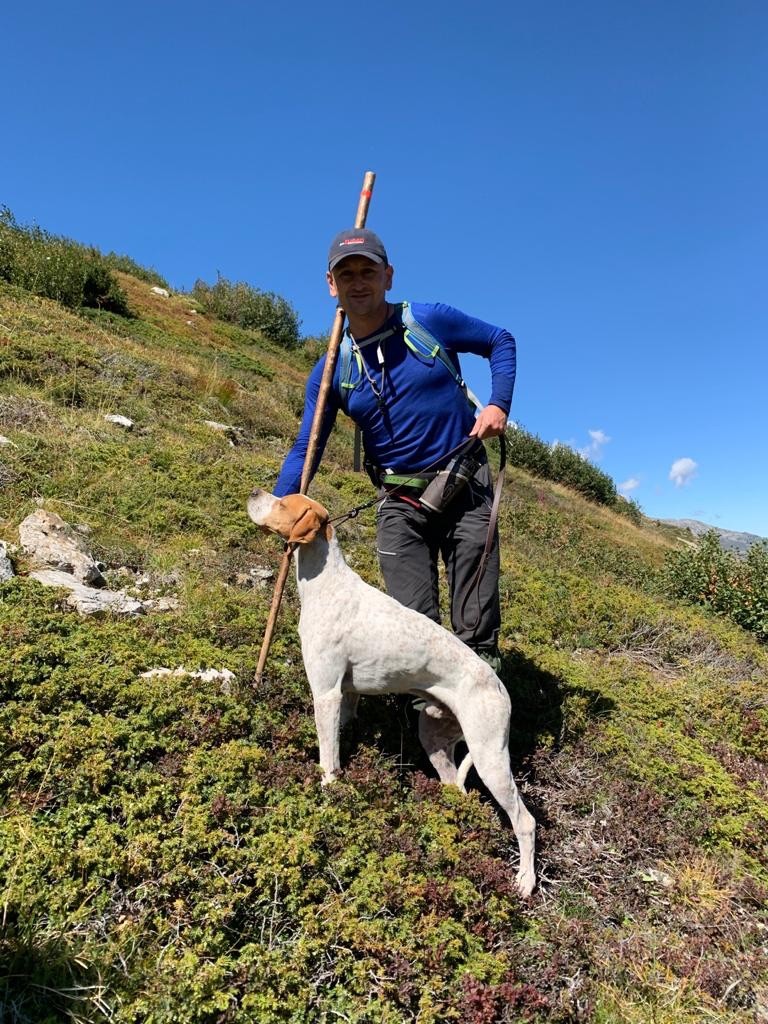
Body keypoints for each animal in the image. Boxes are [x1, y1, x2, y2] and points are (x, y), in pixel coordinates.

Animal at [246, 489, 536, 897]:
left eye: (285, 504)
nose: (255, 493)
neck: (328, 583)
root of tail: (498, 686)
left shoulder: (326, 693)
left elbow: (327, 759)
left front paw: (326, 797)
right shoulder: (346, 697)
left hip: (490, 757)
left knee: (525, 821)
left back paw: (526, 880)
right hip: (435, 737)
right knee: (457, 789)